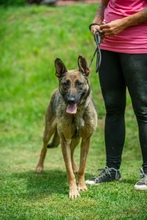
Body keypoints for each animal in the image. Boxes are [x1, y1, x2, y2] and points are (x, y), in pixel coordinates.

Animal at [35, 54, 97, 198]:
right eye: (65, 84)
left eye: (79, 84)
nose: (71, 100)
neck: (78, 113)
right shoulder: (64, 141)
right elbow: (68, 171)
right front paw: (73, 191)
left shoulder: (86, 140)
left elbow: (82, 167)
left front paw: (82, 186)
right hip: (49, 131)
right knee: (44, 148)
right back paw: (39, 167)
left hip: (76, 139)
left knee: (72, 152)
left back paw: (75, 167)